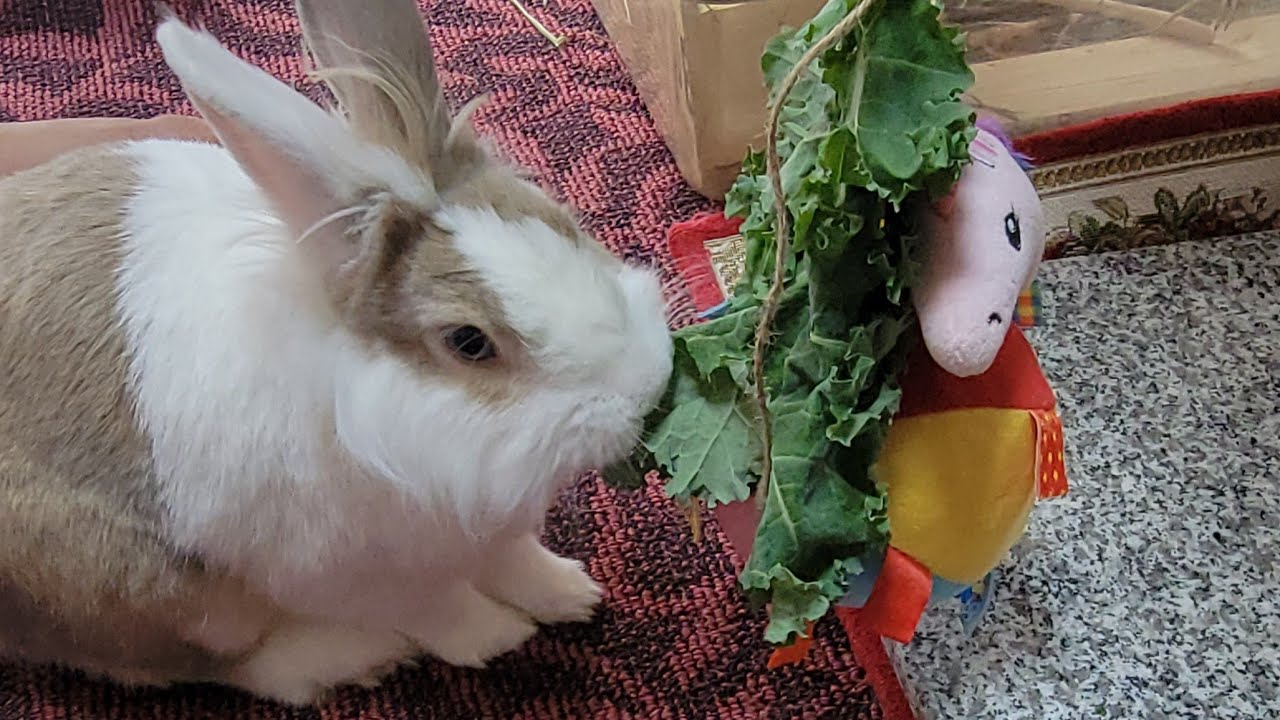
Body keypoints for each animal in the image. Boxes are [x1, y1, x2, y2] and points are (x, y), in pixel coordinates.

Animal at [0, 0, 673, 705]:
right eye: (468, 343)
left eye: (563, 223)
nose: (648, 387)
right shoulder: (357, 577)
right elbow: (444, 611)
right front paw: (500, 638)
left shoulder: (485, 533)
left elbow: (516, 562)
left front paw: (571, 592)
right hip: (156, 592)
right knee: (221, 665)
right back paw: (358, 656)